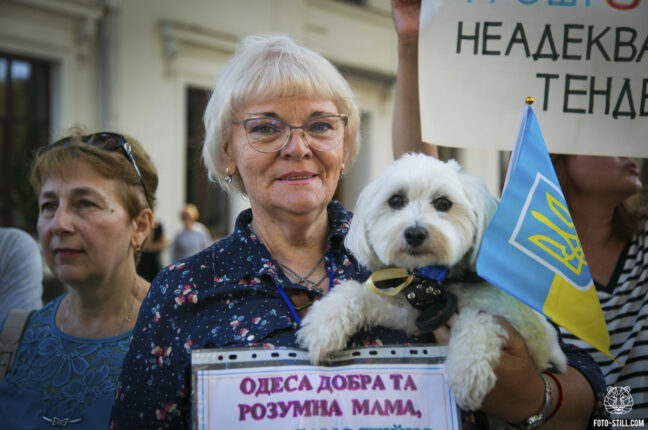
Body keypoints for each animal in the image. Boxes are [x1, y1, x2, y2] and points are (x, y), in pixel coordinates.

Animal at [296, 153, 564, 412]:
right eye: (396, 200)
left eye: (443, 203)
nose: (415, 234)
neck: (434, 282)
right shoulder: (412, 317)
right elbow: (358, 293)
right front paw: (324, 324)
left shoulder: (531, 335)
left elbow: (477, 318)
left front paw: (466, 372)